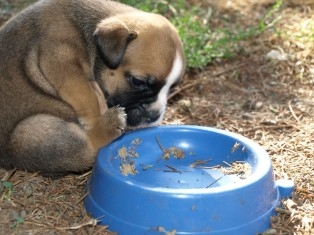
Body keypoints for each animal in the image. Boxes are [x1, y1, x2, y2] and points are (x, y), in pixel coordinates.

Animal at [0, 0, 184, 176]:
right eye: (138, 82)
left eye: (172, 88)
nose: (154, 115)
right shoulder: (60, 61)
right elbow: (86, 96)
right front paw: (96, 118)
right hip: (32, 131)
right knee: (87, 151)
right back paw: (108, 124)